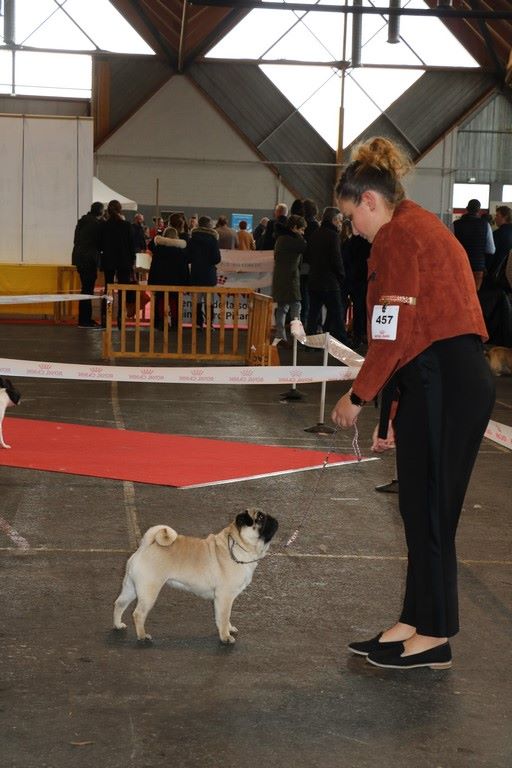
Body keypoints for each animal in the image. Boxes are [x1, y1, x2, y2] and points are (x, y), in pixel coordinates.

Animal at [113, 508, 278, 645]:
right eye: (260, 518)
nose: (274, 519)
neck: (239, 545)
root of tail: (146, 546)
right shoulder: (224, 596)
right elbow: (224, 616)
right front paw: (225, 637)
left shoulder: (223, 599)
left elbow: (224, 617)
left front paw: (228, 629)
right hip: (149, 591)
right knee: (138, 614)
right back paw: (142, 636)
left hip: (131, 588)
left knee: (119, 603)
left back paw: (117, 625)